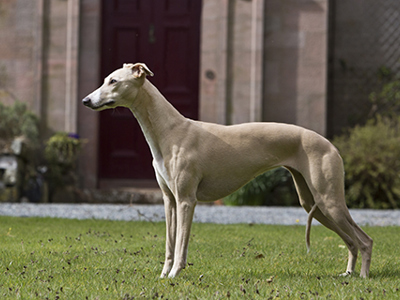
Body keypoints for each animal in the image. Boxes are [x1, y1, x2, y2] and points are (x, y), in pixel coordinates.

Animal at [83, 63, 374, 278]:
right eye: (105, 79)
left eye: (113, 81)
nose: (86, 100)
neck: (169, 130)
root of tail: (331, 145)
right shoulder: (169, 200)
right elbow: (169, 242)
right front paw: (164, 275)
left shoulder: (187, 200)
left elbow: (181, 243)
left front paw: (176, 274)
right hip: (312, 200)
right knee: (351, 241)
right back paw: (348, 273)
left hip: (328, 200)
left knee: (364, 240)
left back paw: (362, 277)